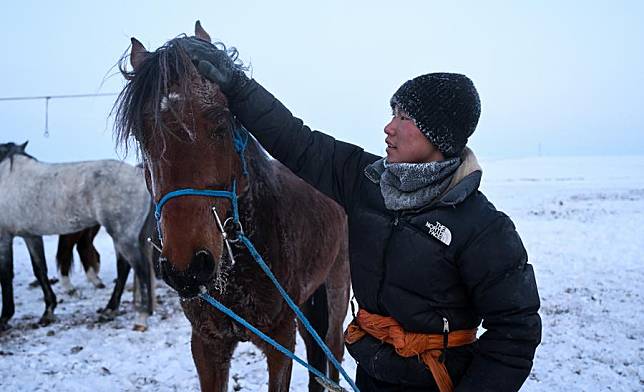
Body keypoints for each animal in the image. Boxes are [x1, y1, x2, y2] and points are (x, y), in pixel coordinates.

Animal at [0, 141, 155, 330]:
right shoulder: (31, 235)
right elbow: (40, 270)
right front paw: (48, 311)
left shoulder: (4, 236)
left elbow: (6, 275)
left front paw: (5, 316)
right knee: (124, 268)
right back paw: (110, 309)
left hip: (124, 237)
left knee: (139, 270)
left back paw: (140, 317)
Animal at [113, 23, 350, 390]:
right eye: (143, 137)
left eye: (221, 124)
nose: (188, 266)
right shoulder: (207, 345)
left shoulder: (280, 341)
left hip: (335, 289)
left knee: (333, 350)